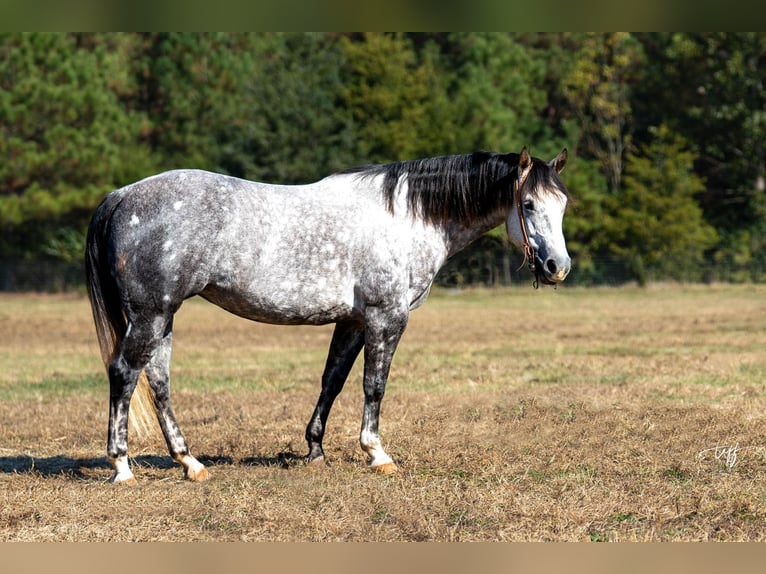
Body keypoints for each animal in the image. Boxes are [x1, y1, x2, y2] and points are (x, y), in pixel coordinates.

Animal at [87, 146, 572, 484]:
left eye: (562, 204)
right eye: (529, 204)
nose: (558, 267)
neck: (406, 217)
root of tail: (121, 196)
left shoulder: (353, 320)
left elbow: (332, 381)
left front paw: (315, 451)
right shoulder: (386, 317)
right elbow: (374, 386)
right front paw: (377, 454)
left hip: (162, 318)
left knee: (159, 382)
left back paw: (191, 463)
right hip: (150, 315)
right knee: (125, 373)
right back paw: (123, 467)